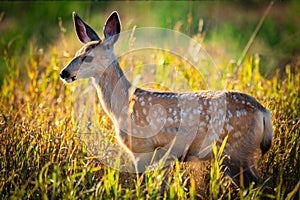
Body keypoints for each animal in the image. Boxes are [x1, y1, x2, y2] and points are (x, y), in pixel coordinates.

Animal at [59, 11, 274, 188]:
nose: (64, 73)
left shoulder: (142, 148)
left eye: (88, 57)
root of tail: (263, 112)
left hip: (234, 151)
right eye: (77, 53)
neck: (123, 105)